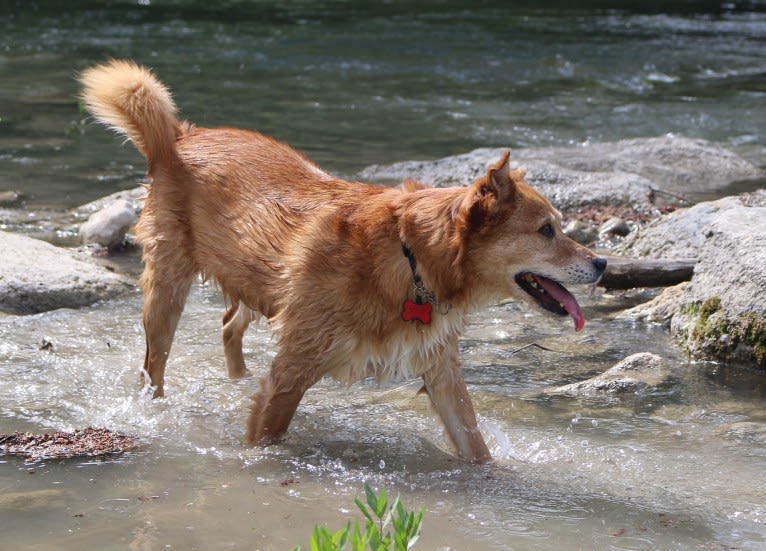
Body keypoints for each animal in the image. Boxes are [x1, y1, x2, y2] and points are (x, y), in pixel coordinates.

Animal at [78, 60, 608, 464]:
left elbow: (474, 443)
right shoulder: (293, 369)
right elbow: (266, 434)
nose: (602, 263)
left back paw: (237, 378)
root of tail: (181, 137)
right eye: (546, 231)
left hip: (254, 279)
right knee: (154, 366)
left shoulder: (441, 369)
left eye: (561, 226)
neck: (410, 259)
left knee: (229, 324)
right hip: (167, 290)